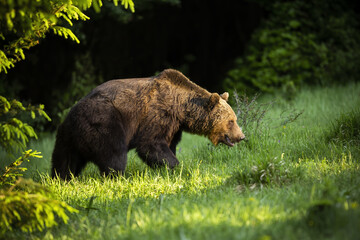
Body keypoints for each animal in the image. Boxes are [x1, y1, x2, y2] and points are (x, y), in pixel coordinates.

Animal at [51, 68, 245, 179]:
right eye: (231, 121)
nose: (241, 136)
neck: (180, 107)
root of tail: (70, 118)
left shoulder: (174, 126)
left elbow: (168, 144)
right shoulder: (157, 114)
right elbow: (151, 144)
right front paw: (176, 167)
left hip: (66, 138)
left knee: (64, 161)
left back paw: (61, 179)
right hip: (104, 122)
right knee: (114, 153)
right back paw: (118, 177)